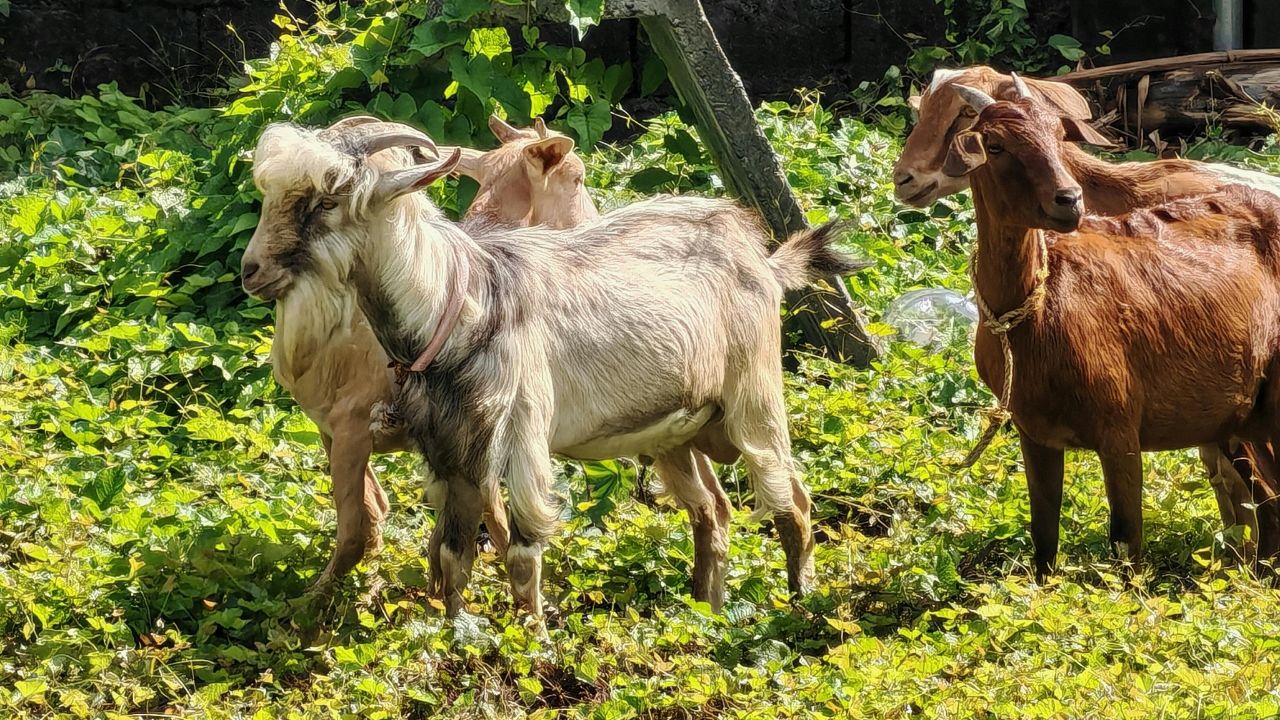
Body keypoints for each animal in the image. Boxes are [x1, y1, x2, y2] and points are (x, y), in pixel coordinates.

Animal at [897, 67, 1280, 563]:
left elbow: (1128, 539)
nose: (902, 179)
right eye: (994, 144)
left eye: (1057, 133)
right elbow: (1044, 539)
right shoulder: (1035, 431)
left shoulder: (1123, 431)